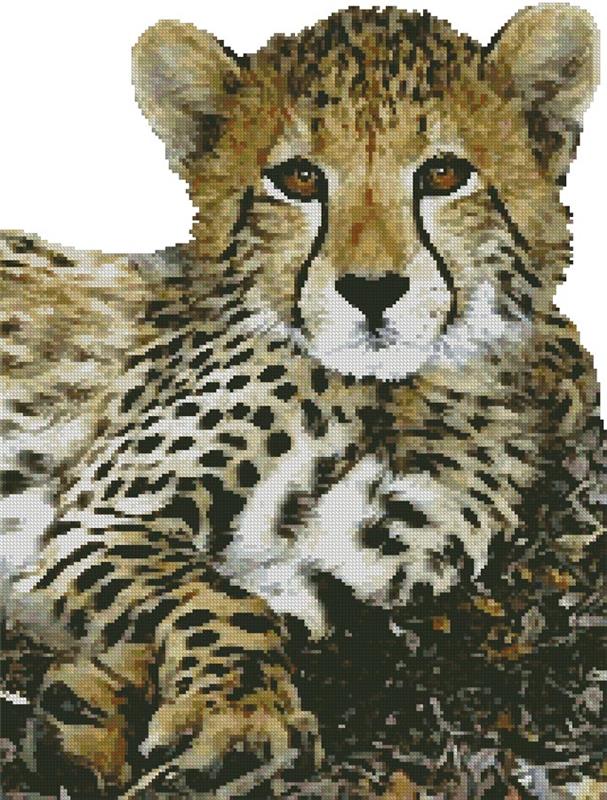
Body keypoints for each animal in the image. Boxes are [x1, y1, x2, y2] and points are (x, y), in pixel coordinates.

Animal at [1, 5, 606, 799]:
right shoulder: (105, 521)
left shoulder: (336, 575)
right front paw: (239, 719)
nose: (372, 290)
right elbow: (223, 601)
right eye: (298, 179)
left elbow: (271, 611)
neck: (399, 395)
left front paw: (91, 709)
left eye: (443, 174)